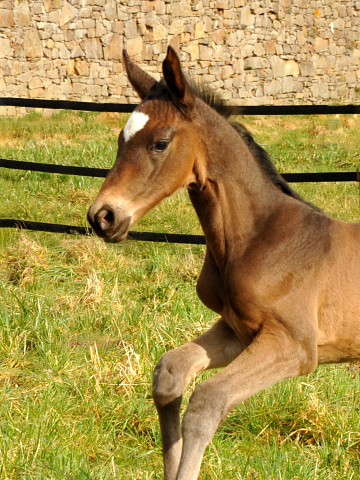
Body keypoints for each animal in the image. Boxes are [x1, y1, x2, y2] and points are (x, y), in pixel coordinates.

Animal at [86, 46, 360, 480]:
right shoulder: (239, 330)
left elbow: (207, 402)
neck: (254, 239)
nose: (102, 216)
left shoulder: (295, 346)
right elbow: (170, 373)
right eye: (120, 139)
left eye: (160, 143)